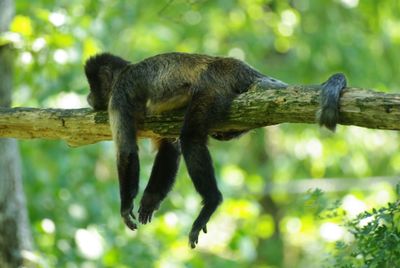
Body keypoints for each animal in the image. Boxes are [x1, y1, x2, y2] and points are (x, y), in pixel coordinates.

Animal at [84, 52, 346, 249]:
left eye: (92, 86)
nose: (87, 97)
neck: (125, 71)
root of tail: (236, 65)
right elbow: (169, 147)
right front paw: (150, 200)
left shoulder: (118, 95)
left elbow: (127, 152)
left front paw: (125, 206)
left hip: (213, 86)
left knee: (191, 139)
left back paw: (212, 201)